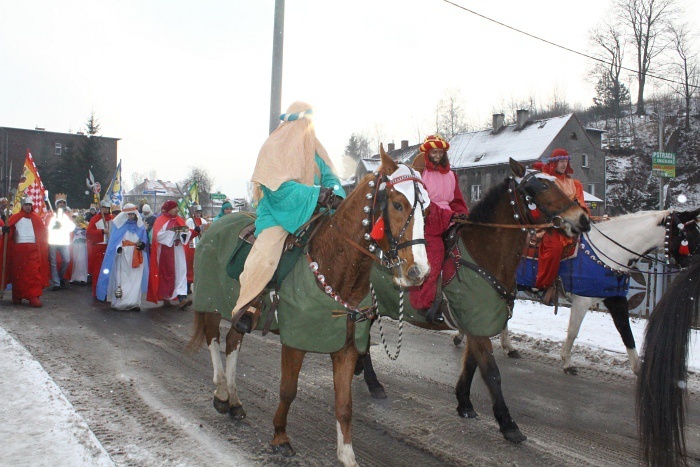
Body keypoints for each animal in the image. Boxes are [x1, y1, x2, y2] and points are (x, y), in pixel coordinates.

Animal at [191, 147, 430, 467]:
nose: (419, 271)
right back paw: (220, 393)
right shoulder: (295, 343)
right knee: (213, 338)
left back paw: (235, 401)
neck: (333, 268)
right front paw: (280, 437)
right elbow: (288, 391)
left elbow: (344, 404)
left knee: (232, 341)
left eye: (427, 207)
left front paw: (347, 455)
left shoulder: (346, 348)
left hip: (239, 313)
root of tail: (211, 226)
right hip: (210, 303)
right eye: (397, 204)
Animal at [356, 159, 592, 444]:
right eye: (542, 186)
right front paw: (507, 423)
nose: (582, 218)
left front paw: (464, 403)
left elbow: (470, 364)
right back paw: (373, 382)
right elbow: (491, 372)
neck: (484, 254)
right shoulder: (477, 327)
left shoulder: (475, 324)